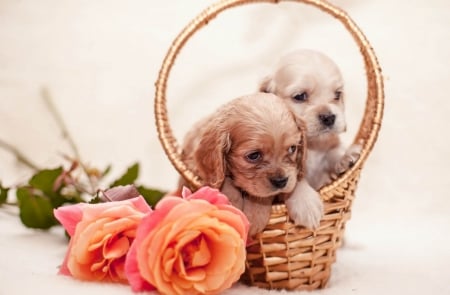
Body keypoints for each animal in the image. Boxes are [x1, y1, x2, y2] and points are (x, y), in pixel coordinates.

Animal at [178, 93, 322, 237]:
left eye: (292, 148)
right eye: (254, 155)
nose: (281, 181)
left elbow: (290, 183)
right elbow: (227, 184)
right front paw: (234, 206)